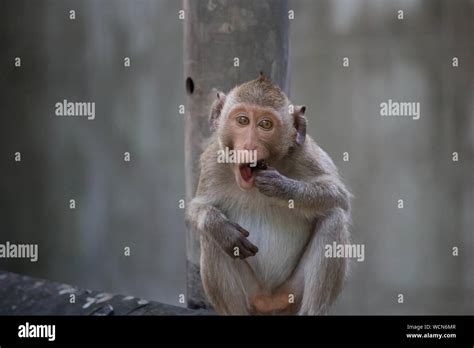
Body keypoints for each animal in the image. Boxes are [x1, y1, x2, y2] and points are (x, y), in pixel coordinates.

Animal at [186, 74, 352, 316]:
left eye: (265, 124)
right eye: (243, 120)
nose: (249, 145)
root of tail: (269, 301)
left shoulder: (305, 154)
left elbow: (339, 197)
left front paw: (281, 187)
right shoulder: (213, 161)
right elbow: (197, 207)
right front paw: (219, 227)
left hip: (291, 295)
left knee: (334, 219)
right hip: (253, 294)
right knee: (211, 239)